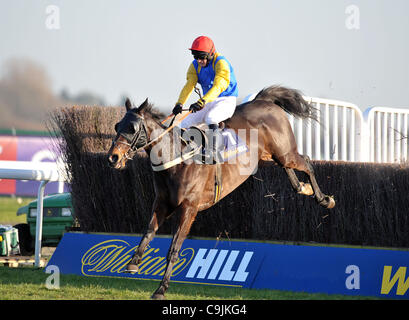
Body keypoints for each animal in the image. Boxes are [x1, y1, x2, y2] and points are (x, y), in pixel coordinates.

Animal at [107, 85, 334, 300]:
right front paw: (133, 263)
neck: (176, 159)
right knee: (290, 169)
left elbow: (174, 249)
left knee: (307, 162)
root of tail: (263, 101)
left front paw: (160, 289)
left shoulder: (188, 208)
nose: (113, 158)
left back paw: (324, 199)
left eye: (132, 128)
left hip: (286, 152)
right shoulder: (162, 203)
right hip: (272, 155)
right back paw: (303, 187)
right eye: (117, 126)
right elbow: (148, 232)